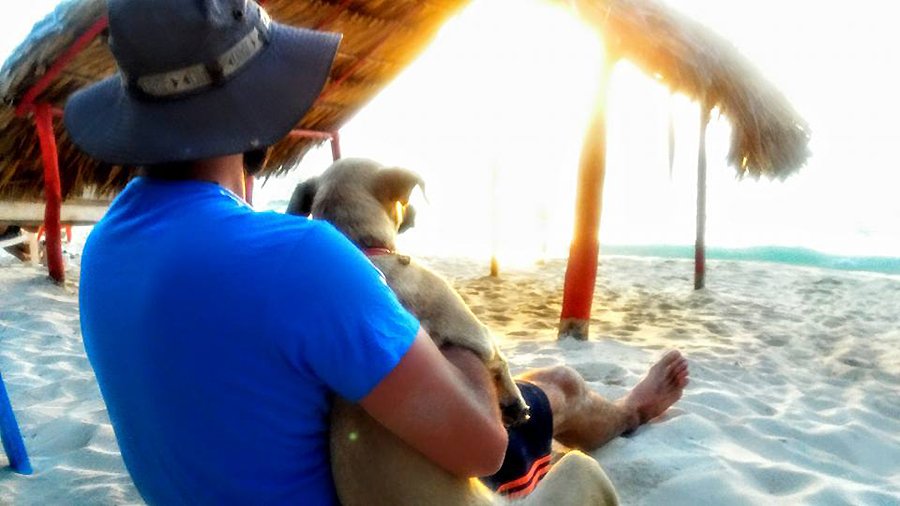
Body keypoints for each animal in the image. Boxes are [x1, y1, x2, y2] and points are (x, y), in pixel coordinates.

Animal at [288, 156, 620, 504]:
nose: (414, 213)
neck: (362, 249)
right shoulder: (475, 331)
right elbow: (500, 361)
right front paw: (515, 403)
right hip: (580, 466)